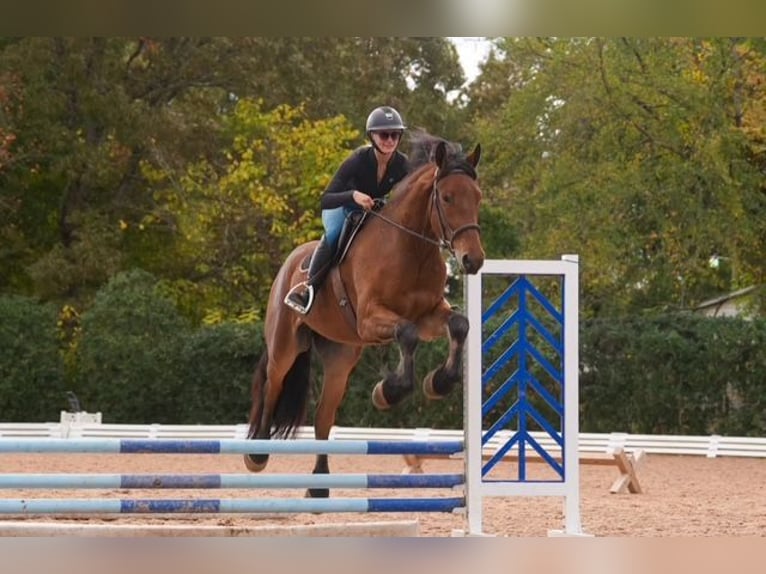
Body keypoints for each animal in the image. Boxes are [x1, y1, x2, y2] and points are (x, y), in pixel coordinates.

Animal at [243, 132, 485, 498]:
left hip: (341, 357)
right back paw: (257, 454)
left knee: (323, 417)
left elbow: (458, 324)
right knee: (272, 385)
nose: (474, 260)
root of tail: (289, 263)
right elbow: (406, 334)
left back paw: (319, 485)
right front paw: (389, 392)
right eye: (446, 197)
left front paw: (437, 383)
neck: (410, 249)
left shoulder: (429, 316)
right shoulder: (371, 319)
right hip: (285, 345)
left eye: (478, 197)